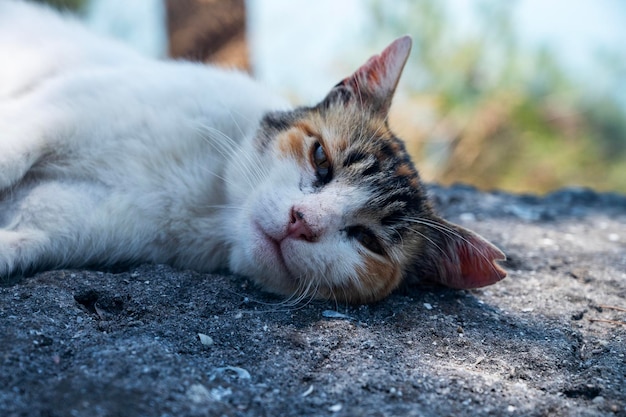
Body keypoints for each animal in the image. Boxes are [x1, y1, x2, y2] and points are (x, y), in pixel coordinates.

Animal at [0, 1, 504, 304]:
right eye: (321, 159)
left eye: (368, 240)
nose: (302, 221)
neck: (209, 200)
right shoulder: (61, 109)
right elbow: (12, 153)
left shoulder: (67, 225)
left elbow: (21, 237)